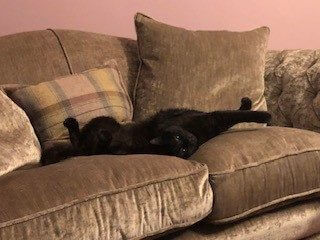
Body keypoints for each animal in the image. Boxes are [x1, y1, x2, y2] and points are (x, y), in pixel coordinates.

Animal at [62, 96, 270, 160]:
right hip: (102, 126)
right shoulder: (213, 117)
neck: (197, 133)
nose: (188, 144)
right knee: (77, 142)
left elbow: (235, 112)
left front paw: (246, 103)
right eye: (181, 147)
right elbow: (233, 114)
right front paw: (265, 115)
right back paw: (71, 123)